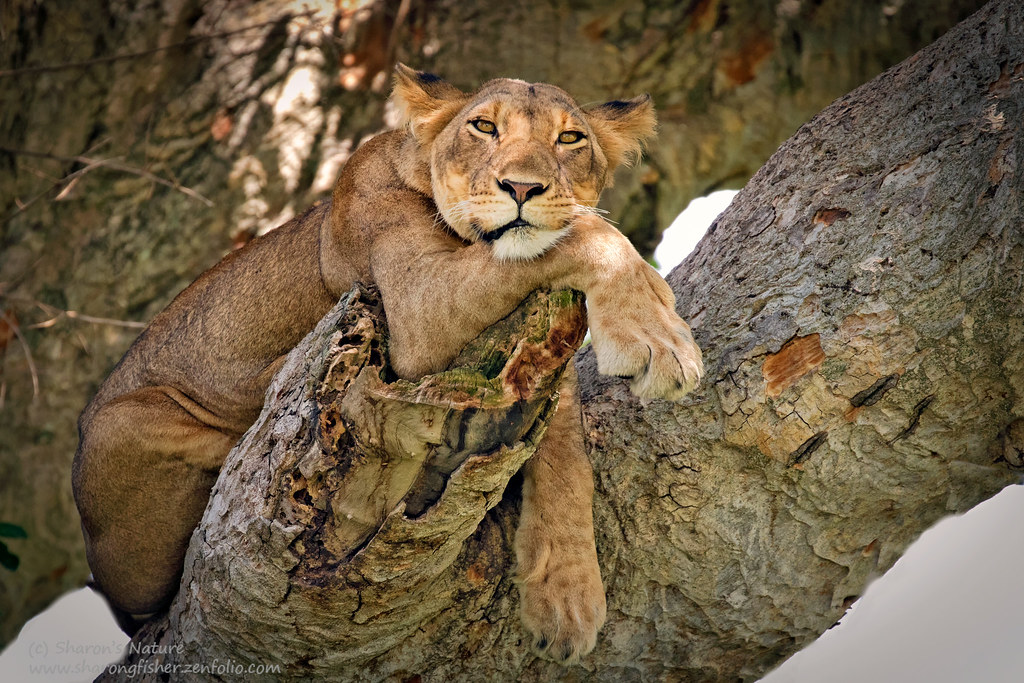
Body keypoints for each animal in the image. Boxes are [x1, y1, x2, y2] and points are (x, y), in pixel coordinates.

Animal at [72, 64, 703, 664]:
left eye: (570, 137)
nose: (522, 187)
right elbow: (587, 228)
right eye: (484, 127)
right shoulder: (414, 313)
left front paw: (568, 597)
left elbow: (566, 455)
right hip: (122, 428)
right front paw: (663, 338)